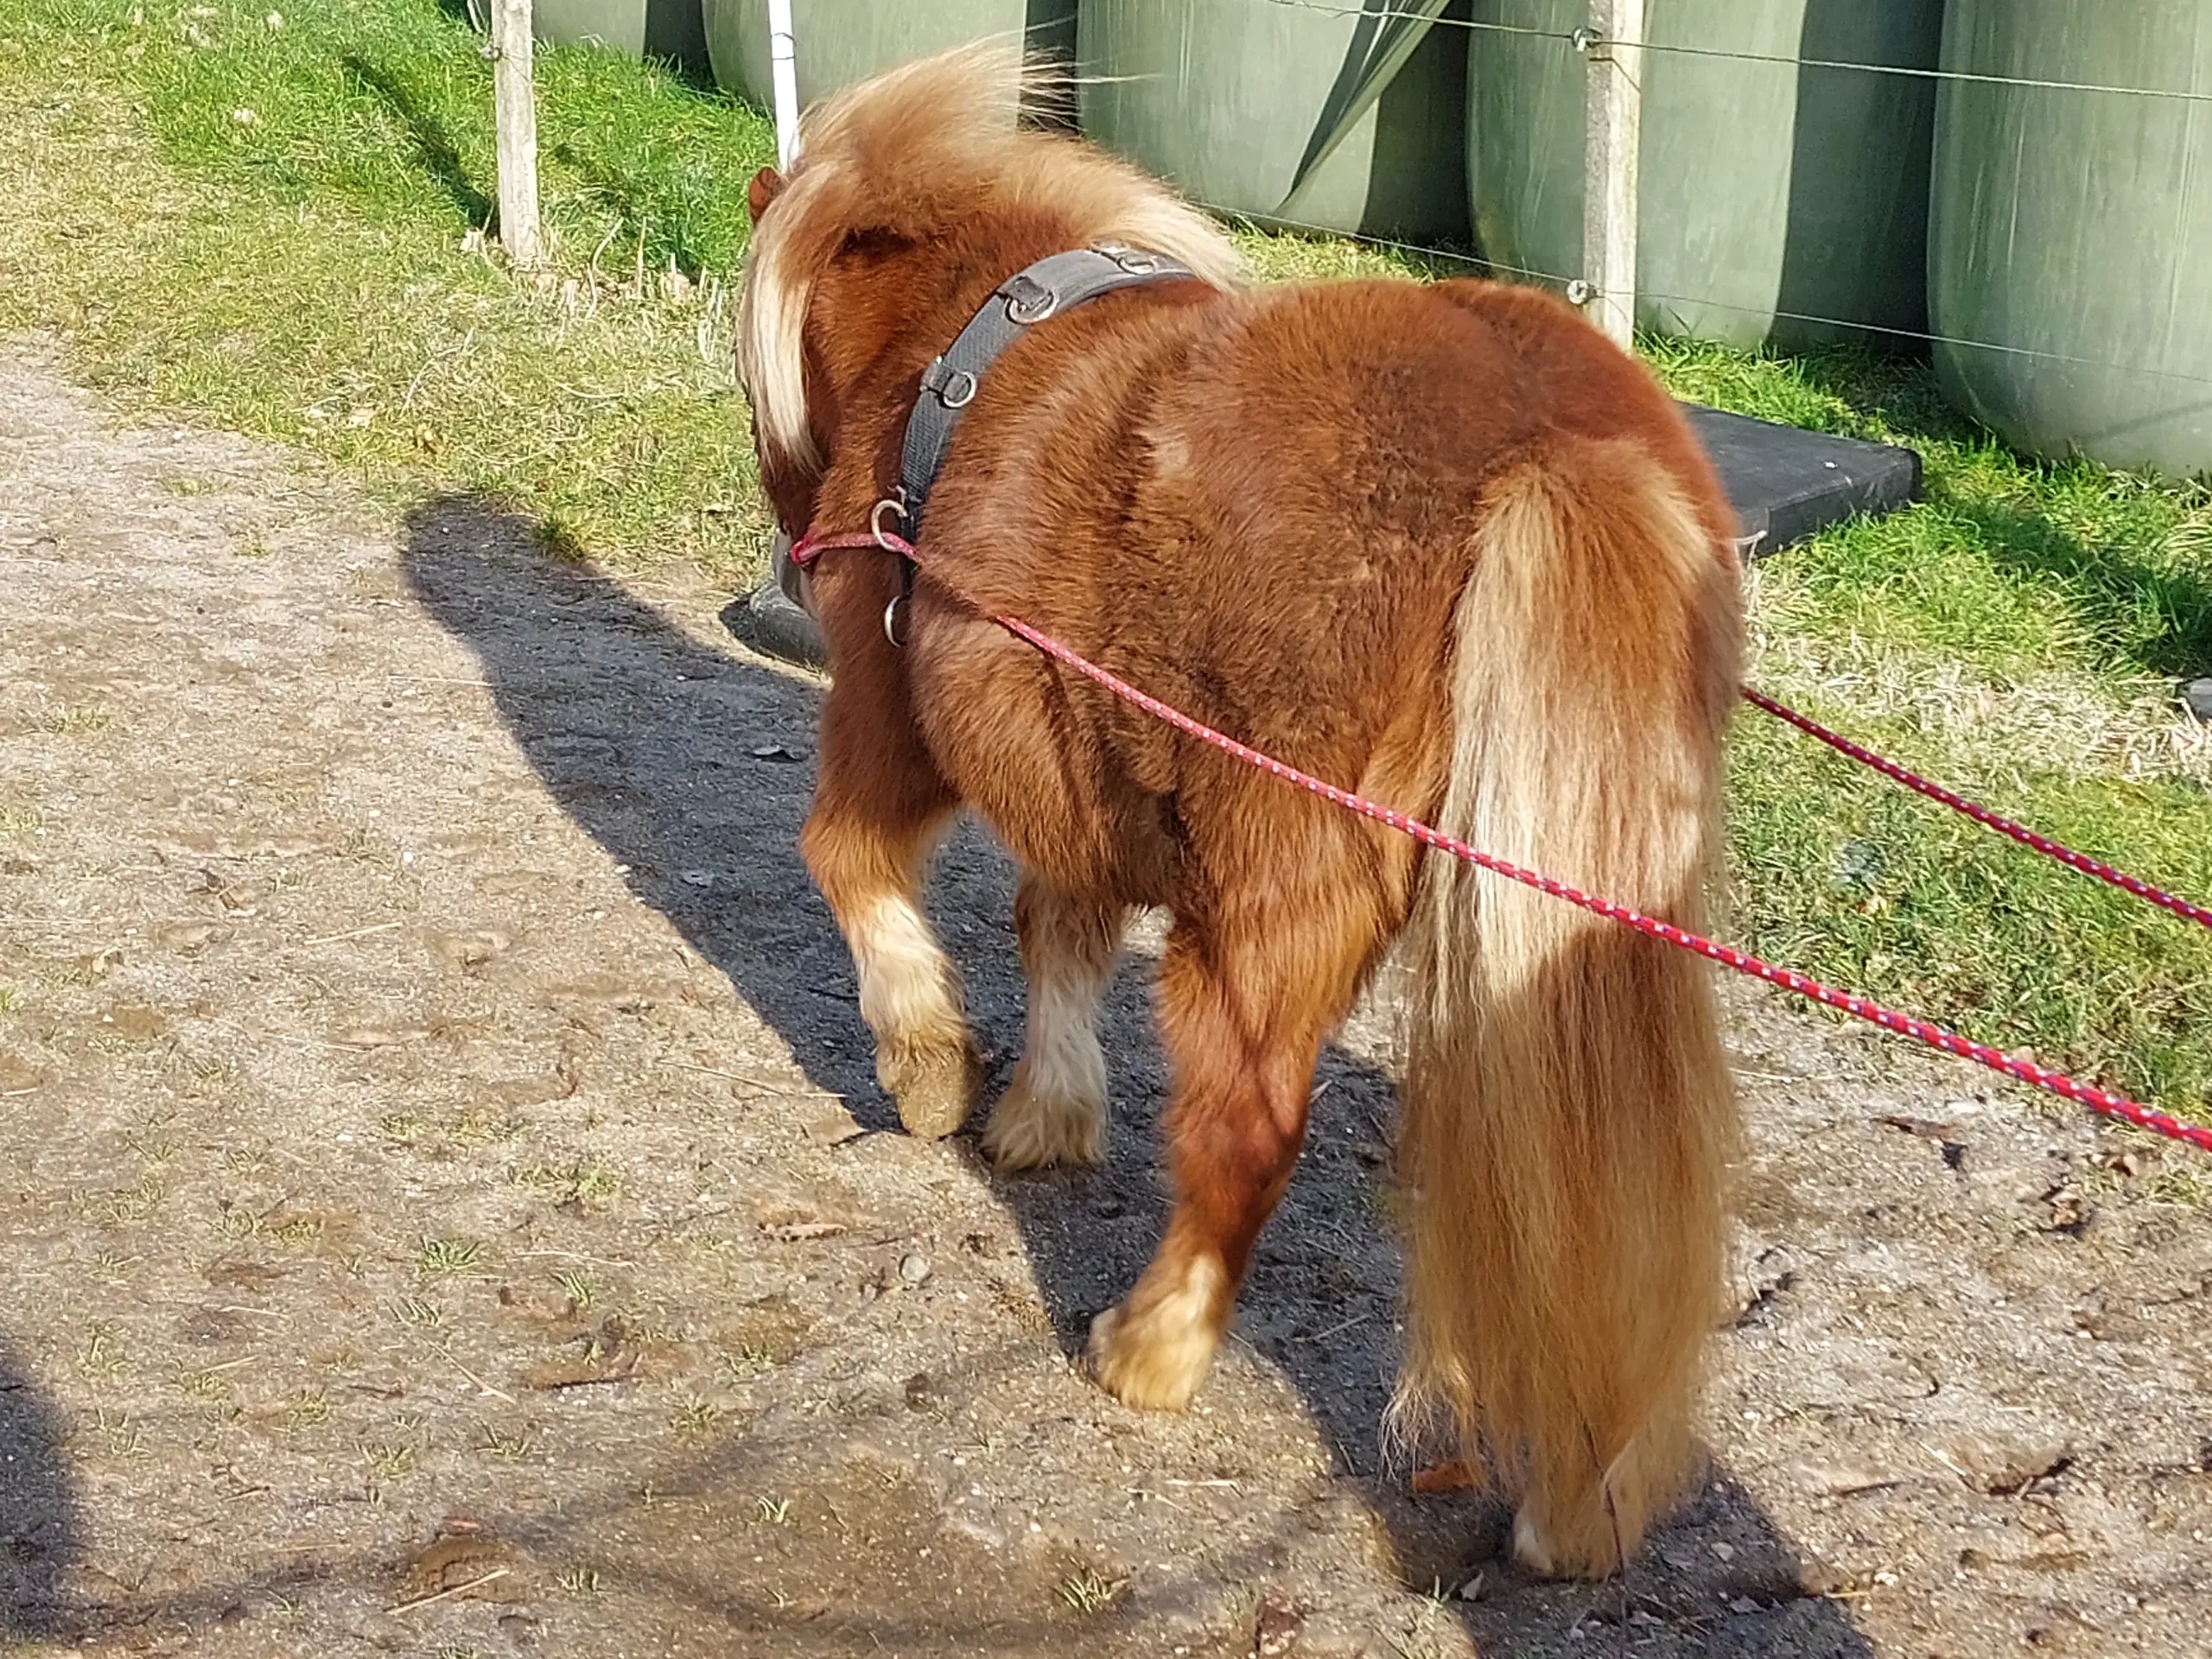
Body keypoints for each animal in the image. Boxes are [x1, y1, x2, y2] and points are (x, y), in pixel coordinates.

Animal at [739, 41, 1743, 1583]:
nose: (787, 561)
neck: (959, 336)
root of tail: (1547, 444)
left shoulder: (891, 716)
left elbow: (847, 861)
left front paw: (927, 1070)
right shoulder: (1078, 777)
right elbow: (1059, 930)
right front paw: (1044, 1115)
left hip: (1265, 923)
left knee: (1245, 1143)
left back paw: (1149, 1350)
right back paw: (1579, 1496)